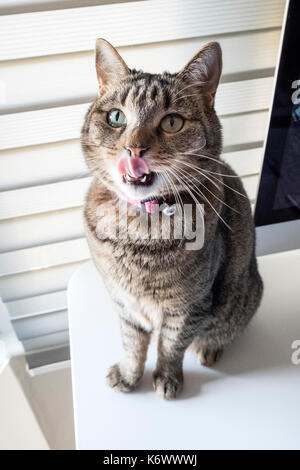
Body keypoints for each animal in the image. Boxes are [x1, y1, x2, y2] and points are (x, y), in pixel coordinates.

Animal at [82, 39, 262, 400]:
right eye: (116, 117)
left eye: (172, 123)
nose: (134, 149)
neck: (138, 229)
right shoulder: (125, 304)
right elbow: (132, 344)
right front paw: (129, 376)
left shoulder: (190, 307)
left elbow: (171, 345)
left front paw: (167, 378)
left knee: (224, 330)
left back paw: (209, 348)